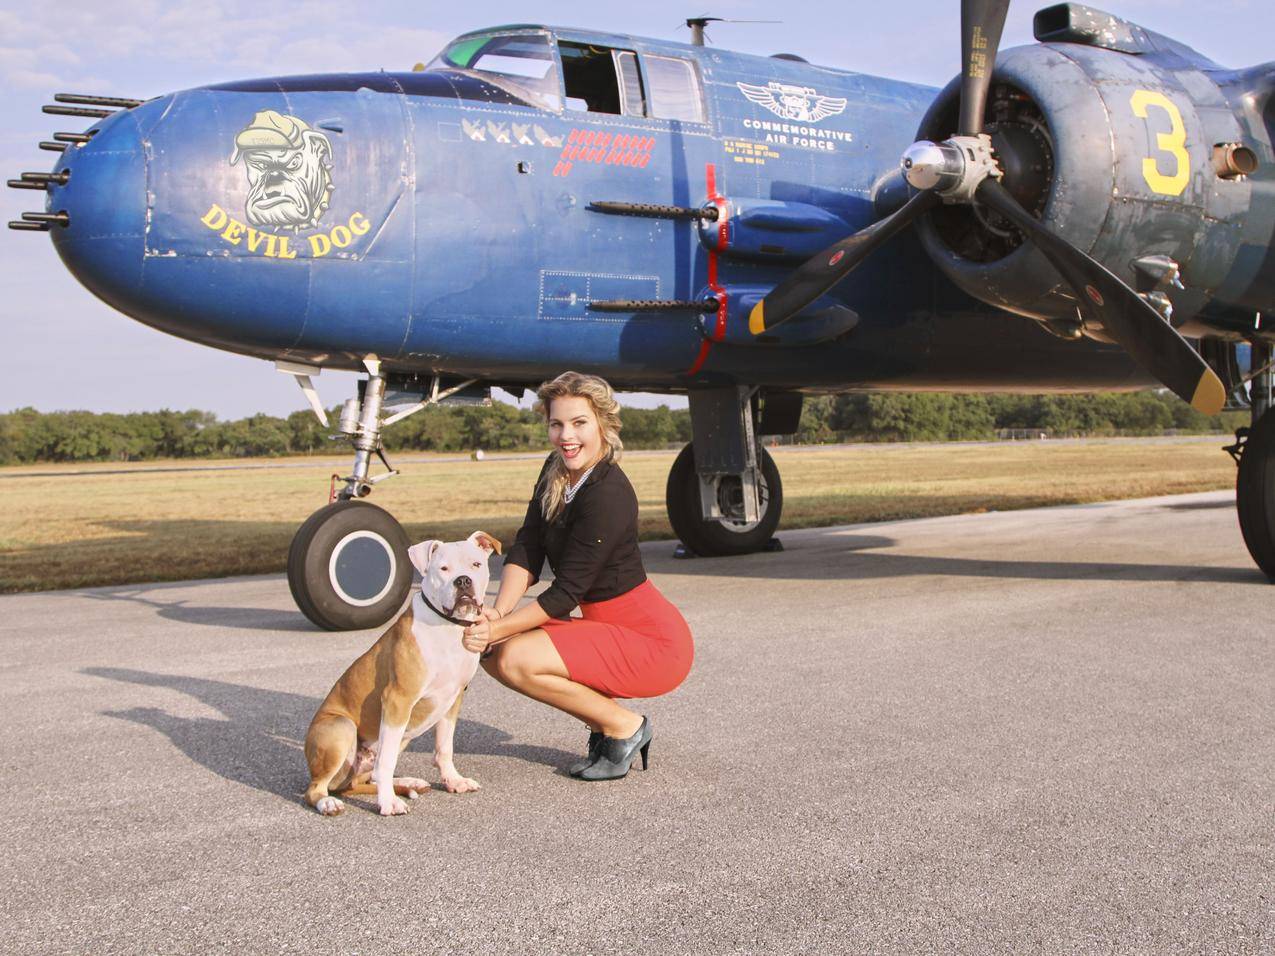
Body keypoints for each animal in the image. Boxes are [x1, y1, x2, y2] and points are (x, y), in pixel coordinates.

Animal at [302, 532, 497, 815]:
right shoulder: (398, 700)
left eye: (476, 565)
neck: (447, 626)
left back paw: (408, 782)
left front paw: (453, 780)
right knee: (319, 787)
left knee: (360, 781)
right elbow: (386, 763)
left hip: (400, 736)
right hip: (342, 727)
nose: (463, 581)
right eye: (443, 569)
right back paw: (329, 802)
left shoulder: (453, 698)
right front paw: (388, 803)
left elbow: (444, 747)